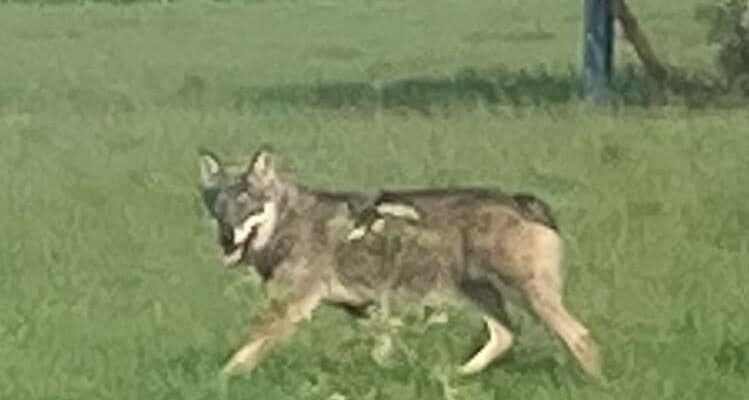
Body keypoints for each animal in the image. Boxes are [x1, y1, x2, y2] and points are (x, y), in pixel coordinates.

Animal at [197, 147, 601, 378]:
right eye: (217, 206)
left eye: (247, 202)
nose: (227, 238)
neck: (289, 221)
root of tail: (519, 201)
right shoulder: (368, 310)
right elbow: (382, 354)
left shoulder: (289, 307)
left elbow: (241, 355)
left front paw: (218, 381)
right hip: (480, 294)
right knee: (504, 336)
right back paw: (457, 374)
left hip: (529, 296)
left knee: (580, 338)